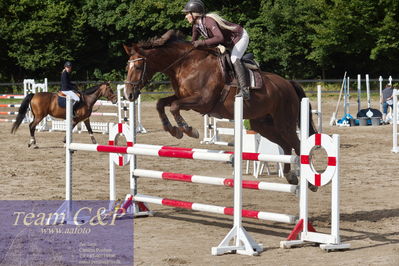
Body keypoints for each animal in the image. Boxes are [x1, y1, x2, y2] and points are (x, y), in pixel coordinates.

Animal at [123, 29, 318, 189]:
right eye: (127, 67)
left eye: (138, 67)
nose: (129, 95)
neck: (186, 64)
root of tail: (288, 84)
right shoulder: (182, 97)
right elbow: (161, 103)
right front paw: (172, 130)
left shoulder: (202, 101)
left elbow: (174, 107)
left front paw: (188, 129)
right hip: (263, 125)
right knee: (286, 146)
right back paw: (290, 176)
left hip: (284, 122)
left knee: (297, 145)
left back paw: (310, 183)